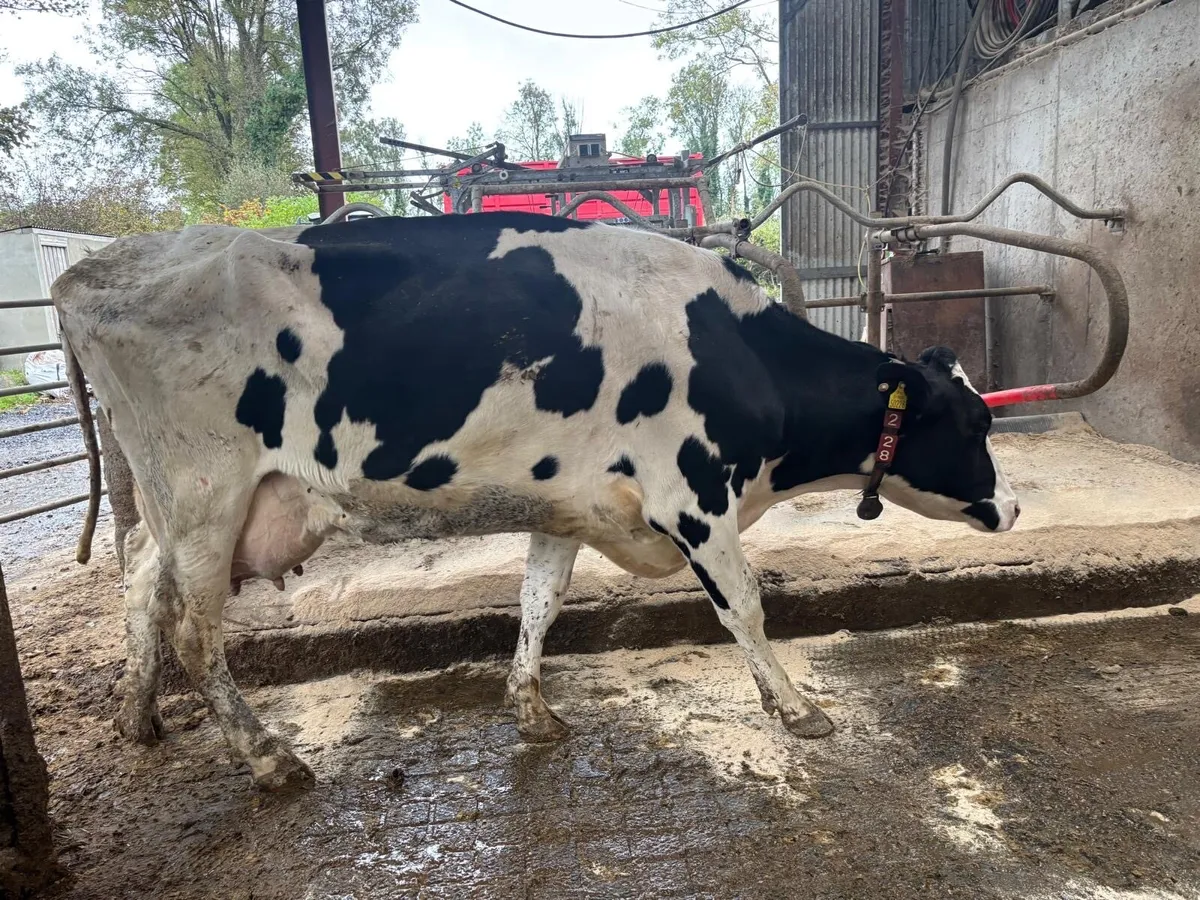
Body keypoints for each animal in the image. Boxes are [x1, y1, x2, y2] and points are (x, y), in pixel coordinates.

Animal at [53, 212, 1018, 790]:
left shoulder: (565, 508)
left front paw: (531, 709)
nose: (1010, 511)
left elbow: (538, 605)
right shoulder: (696, 497)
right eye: (975, 423)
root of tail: (93, 270)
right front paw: (798, 711)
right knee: (194, 629)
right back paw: (267, 758)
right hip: (205, 491)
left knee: (138, 581)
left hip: (181, 504)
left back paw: (137, 714)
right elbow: (745, 606)